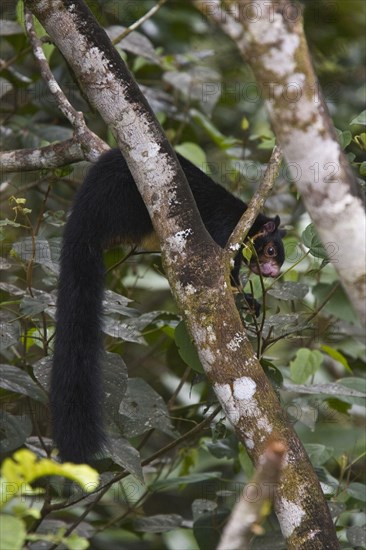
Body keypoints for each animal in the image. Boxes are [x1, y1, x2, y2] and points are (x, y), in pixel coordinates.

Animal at [51, 148, 286, 466]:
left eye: (279, 259)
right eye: (271, 251)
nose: (273, 273)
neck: (245, 220)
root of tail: (84, 214)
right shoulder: (226, 232)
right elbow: (224, 276)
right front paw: (247, 302)